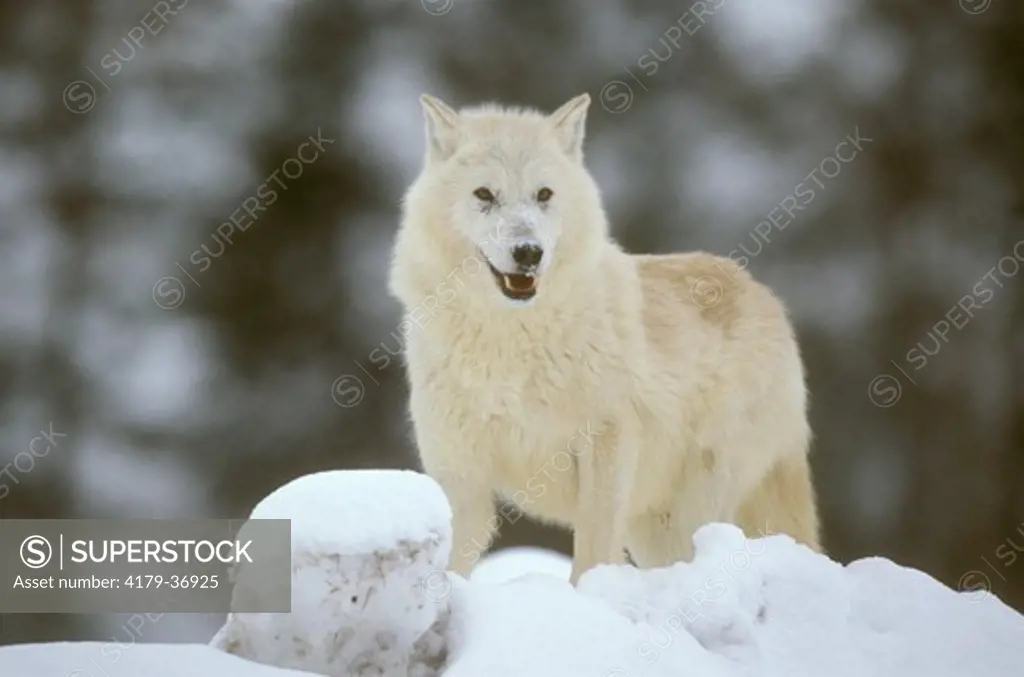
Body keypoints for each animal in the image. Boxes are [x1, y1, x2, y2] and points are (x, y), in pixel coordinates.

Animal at [387, 92, 819, 581]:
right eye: (484, 194)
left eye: (543, 194)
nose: (528, 253)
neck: (510, 340)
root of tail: (765, 296)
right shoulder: (460, 474)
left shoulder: (604, 448)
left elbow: (591, 557)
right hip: (654, 528)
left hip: (695, 507)